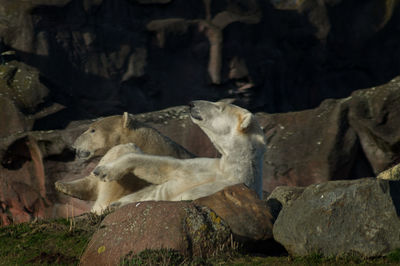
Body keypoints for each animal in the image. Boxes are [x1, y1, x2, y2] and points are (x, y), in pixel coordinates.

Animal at [91, 100, 266, 210]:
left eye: (219, 107)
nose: (192, 103)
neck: (230, 168)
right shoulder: (205, 166)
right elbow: (165, 167)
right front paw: (103, 170)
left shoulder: (226, 187)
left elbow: (184, 195)